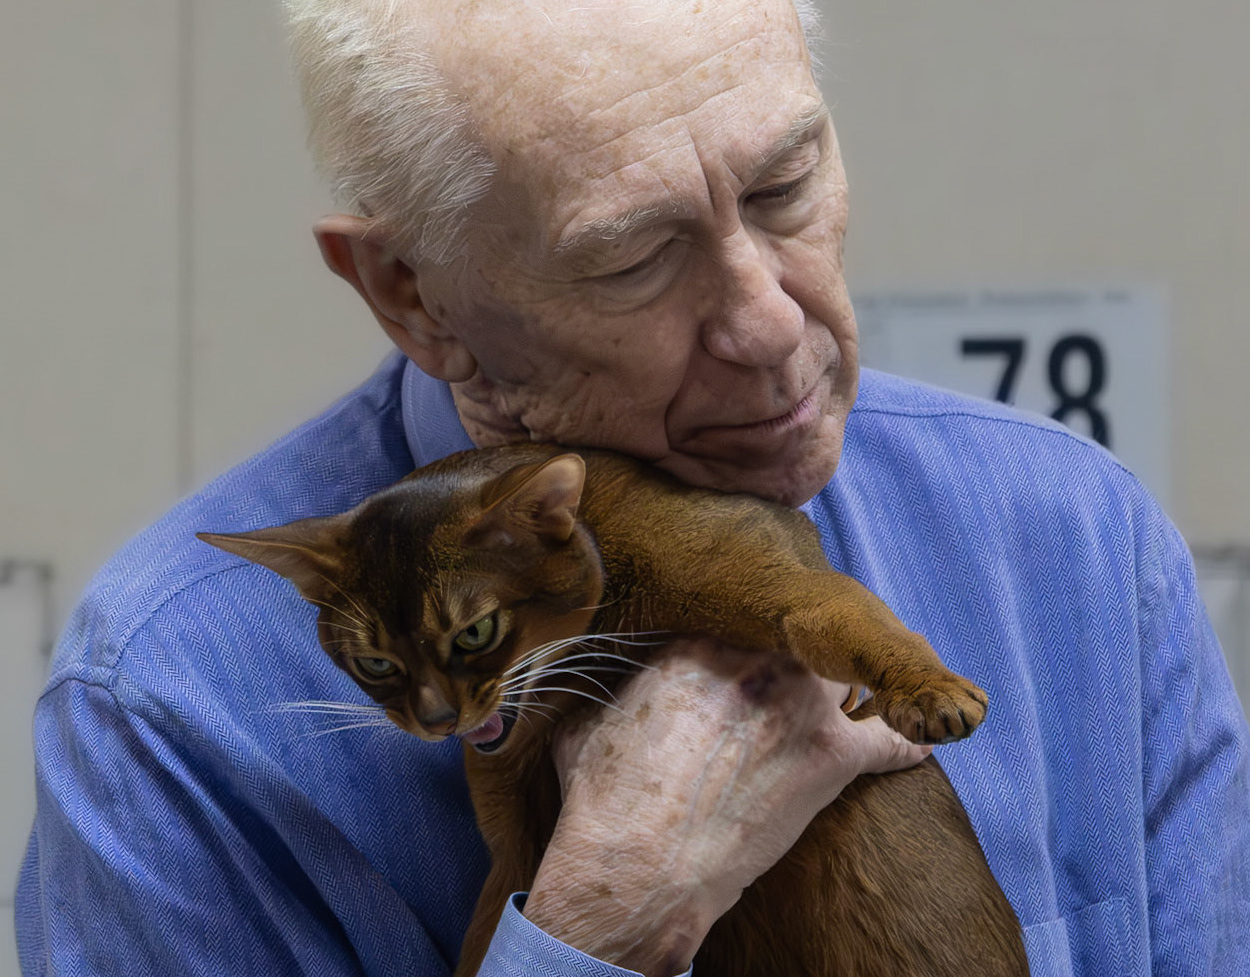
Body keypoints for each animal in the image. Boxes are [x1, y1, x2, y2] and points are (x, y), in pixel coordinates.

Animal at [200, 443, 1029, 976]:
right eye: (376, 663)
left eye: (476, 631)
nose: (438, 720)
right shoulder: (515, 841)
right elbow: (489, 932)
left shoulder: (773, 579)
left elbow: (849, 617)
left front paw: (932, 691)